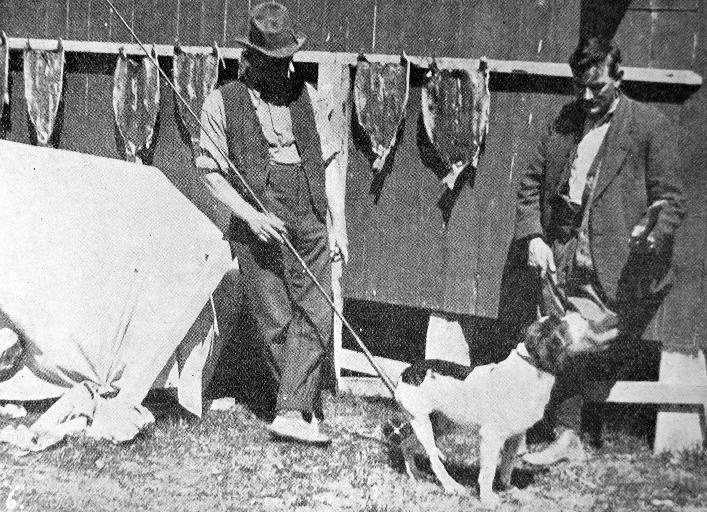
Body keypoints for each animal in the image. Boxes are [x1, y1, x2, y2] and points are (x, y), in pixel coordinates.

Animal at [390, 312, 604, 508]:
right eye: (560, 321)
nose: (582, 314)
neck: (529, 368)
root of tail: (406, 372)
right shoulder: (490, 437)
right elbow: (488, 471)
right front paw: (487, 498)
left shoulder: (516, 436)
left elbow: (507, 466)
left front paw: (509, 490)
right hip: (422, 423)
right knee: (434, 458)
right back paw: (452, 486)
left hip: (440, 424)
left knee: (406, 445)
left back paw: (415, 475)